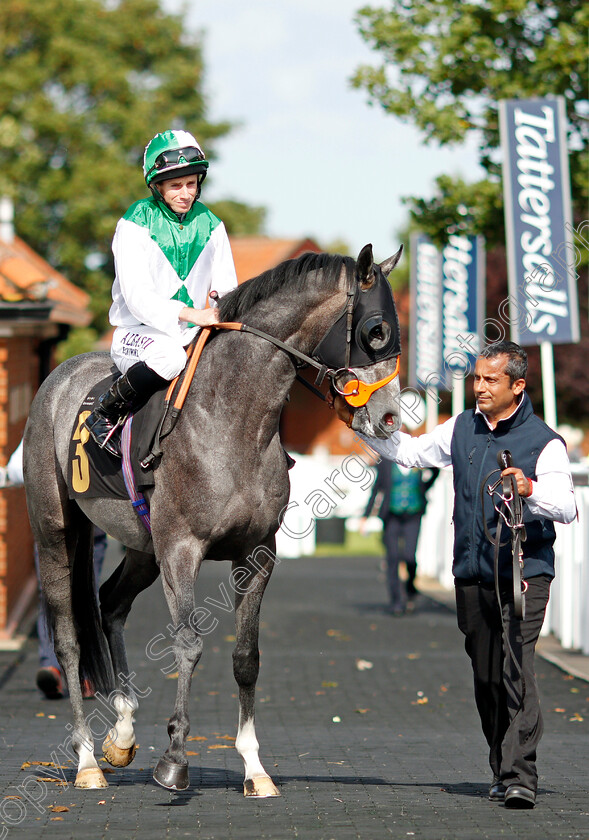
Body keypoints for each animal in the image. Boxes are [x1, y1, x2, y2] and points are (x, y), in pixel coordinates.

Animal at [25, 241, 406, 796]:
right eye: (376, 331)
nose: (391, 417)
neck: (232, 420)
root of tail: (58, 378)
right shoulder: (182, 550)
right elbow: (188, 646)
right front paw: (175, 759)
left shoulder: (256, 553)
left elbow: (246, 656)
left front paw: (254, 767)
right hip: (57, 534)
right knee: (70, 637)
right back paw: (87, 760)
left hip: (143, 548)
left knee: (110, 603)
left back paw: (122, 731)